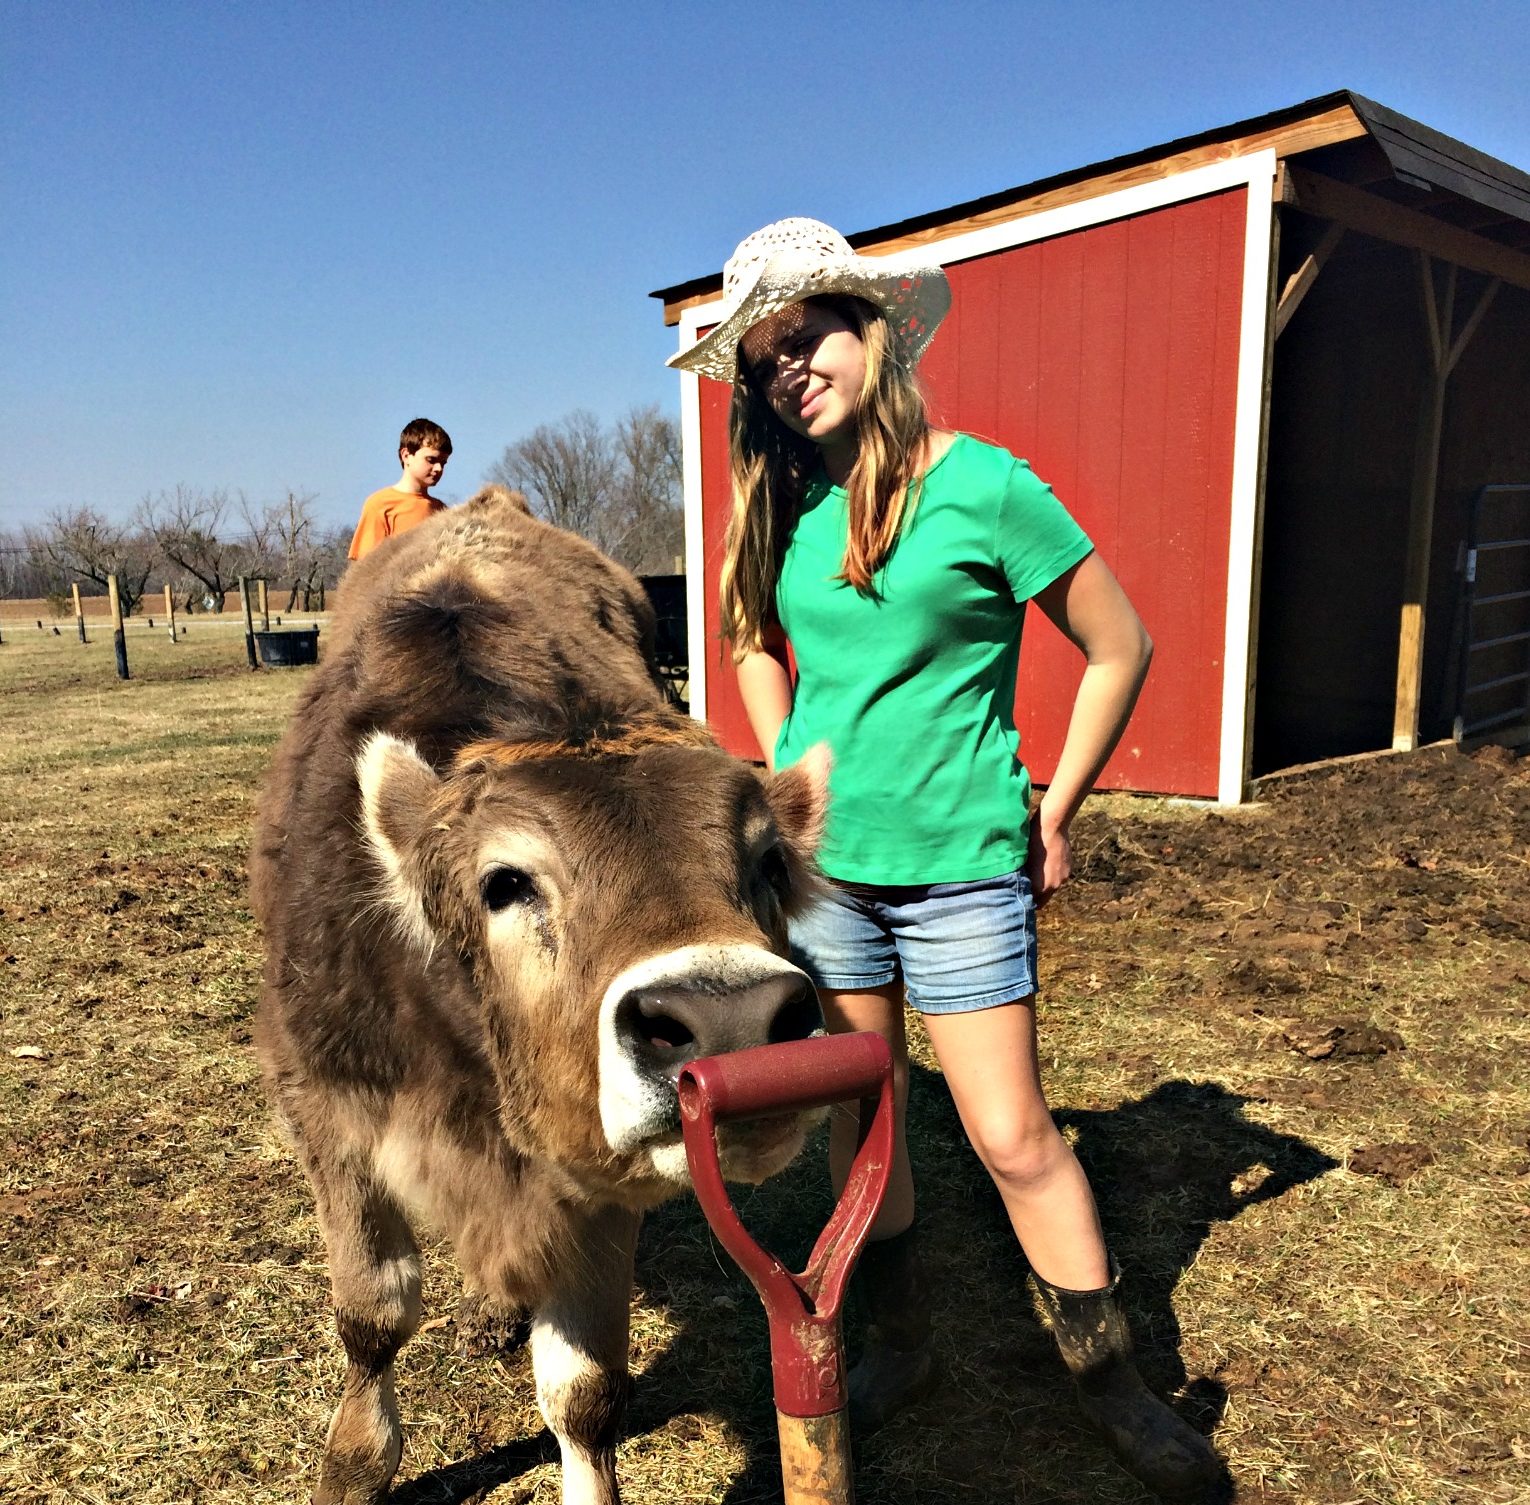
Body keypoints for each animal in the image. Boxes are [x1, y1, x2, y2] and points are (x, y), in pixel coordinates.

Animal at [251, 487, 830, 1505]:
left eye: (768, 863)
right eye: (506, 882)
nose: (731, 1017)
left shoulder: (594, 1171)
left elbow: (587, 1391)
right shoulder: (326, 1110)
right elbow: (372, 1312)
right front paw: (354, 1462)